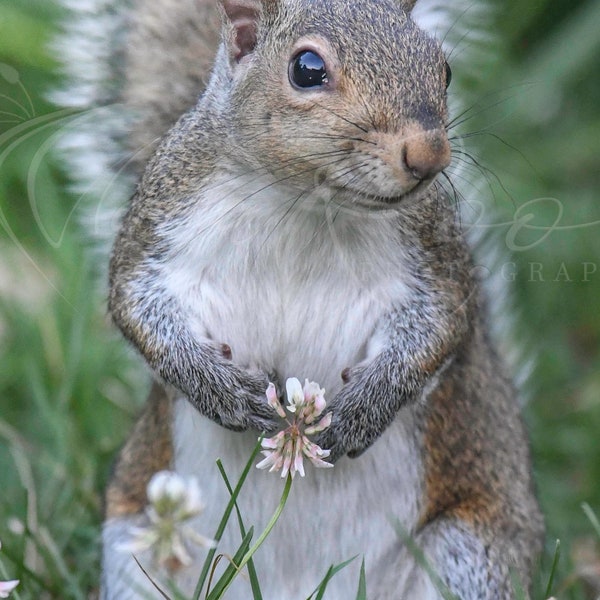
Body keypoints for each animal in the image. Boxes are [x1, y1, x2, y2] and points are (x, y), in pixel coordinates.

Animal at [57, 0, 544, 596]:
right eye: (307, 70)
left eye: (443, 68)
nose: (429, 154)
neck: (305, 203)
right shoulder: (158, 222)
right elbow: (136, 308)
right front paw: (222, 391)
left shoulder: (437, 258)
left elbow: (439, 329)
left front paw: (364, 410)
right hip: (136, 544)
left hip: (468, 554)